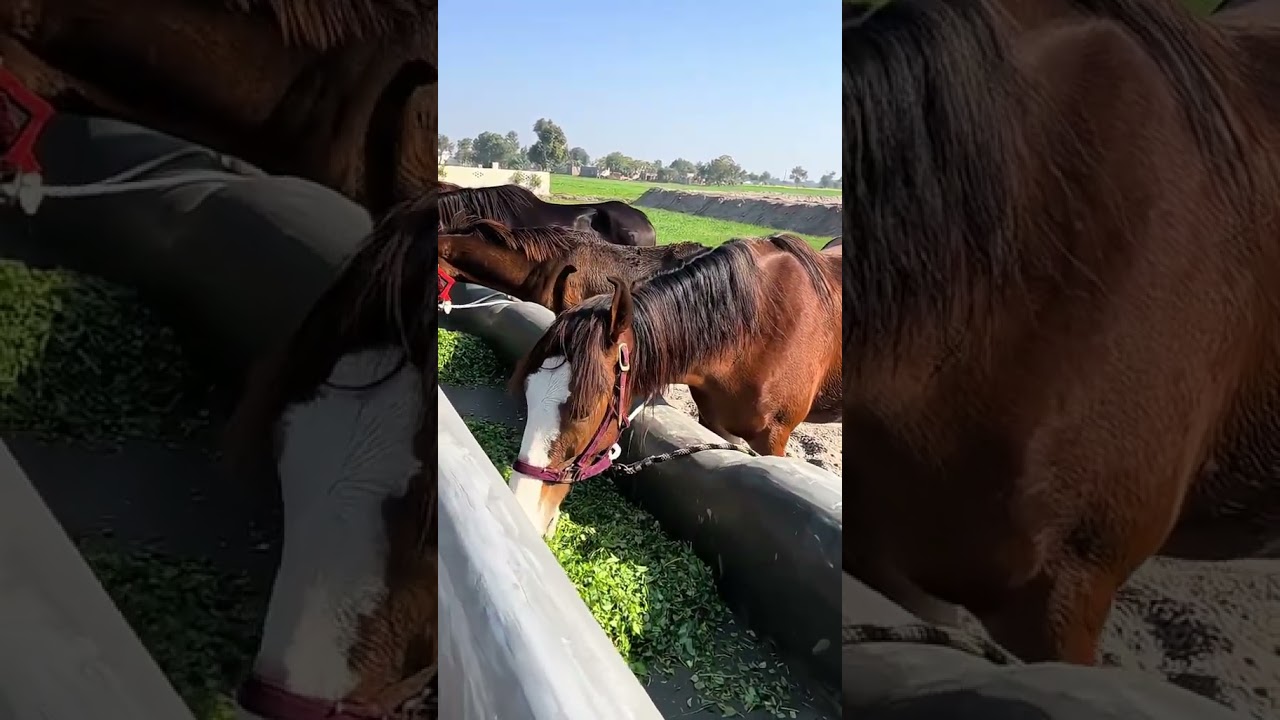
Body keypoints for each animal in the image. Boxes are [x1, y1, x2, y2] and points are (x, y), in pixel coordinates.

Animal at [506, 235, 842, 535]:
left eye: (583, 411)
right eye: (528, 395)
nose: (523, 506)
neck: (758, 331)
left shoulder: (773, 440)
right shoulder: (715, 424)